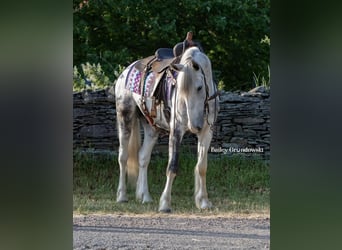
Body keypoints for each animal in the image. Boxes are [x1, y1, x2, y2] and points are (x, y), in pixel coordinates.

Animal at [113, 46, 218, 211]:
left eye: (199, 87)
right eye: (180, 90)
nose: (194, 126)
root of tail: (126, 70)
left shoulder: (206, 132)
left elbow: (202, 167)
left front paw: (204, 202)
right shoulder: (176, 131)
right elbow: (172, 167)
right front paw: (165, 203)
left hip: (151, 128)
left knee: (143, 157)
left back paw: (145, 197)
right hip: (125, 117)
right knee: (123, 157)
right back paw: (122, 196)